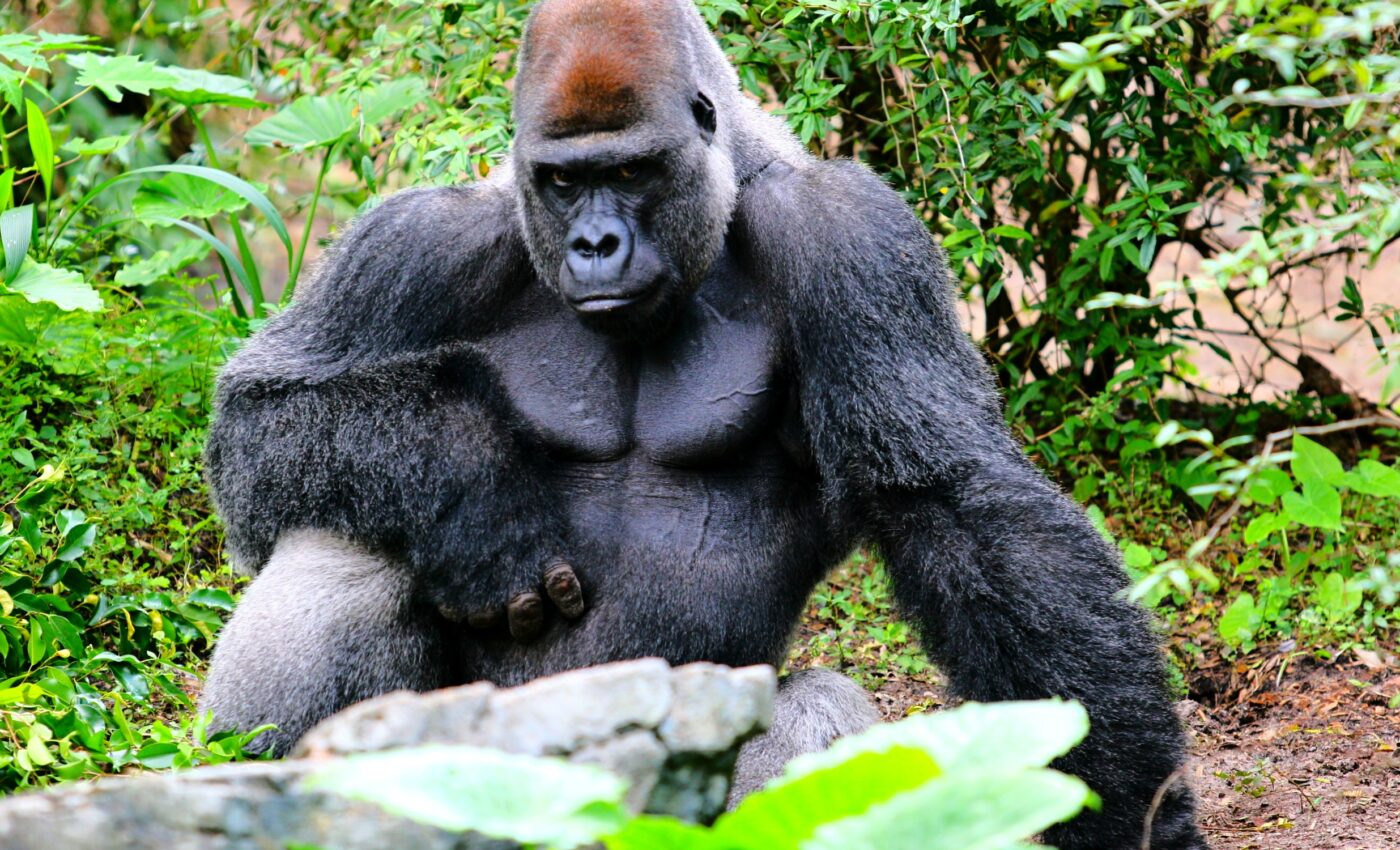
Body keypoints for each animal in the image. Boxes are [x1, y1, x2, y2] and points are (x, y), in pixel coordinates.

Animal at [199, 1, 1206, 847]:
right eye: (561, 182)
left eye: (630, 171)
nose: (593, 245)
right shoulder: (417, 239)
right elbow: (258, 421)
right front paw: (469, 479)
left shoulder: (852, 235)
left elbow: (949, 496)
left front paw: (1138, 808)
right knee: (352, 528)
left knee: (817, 709)